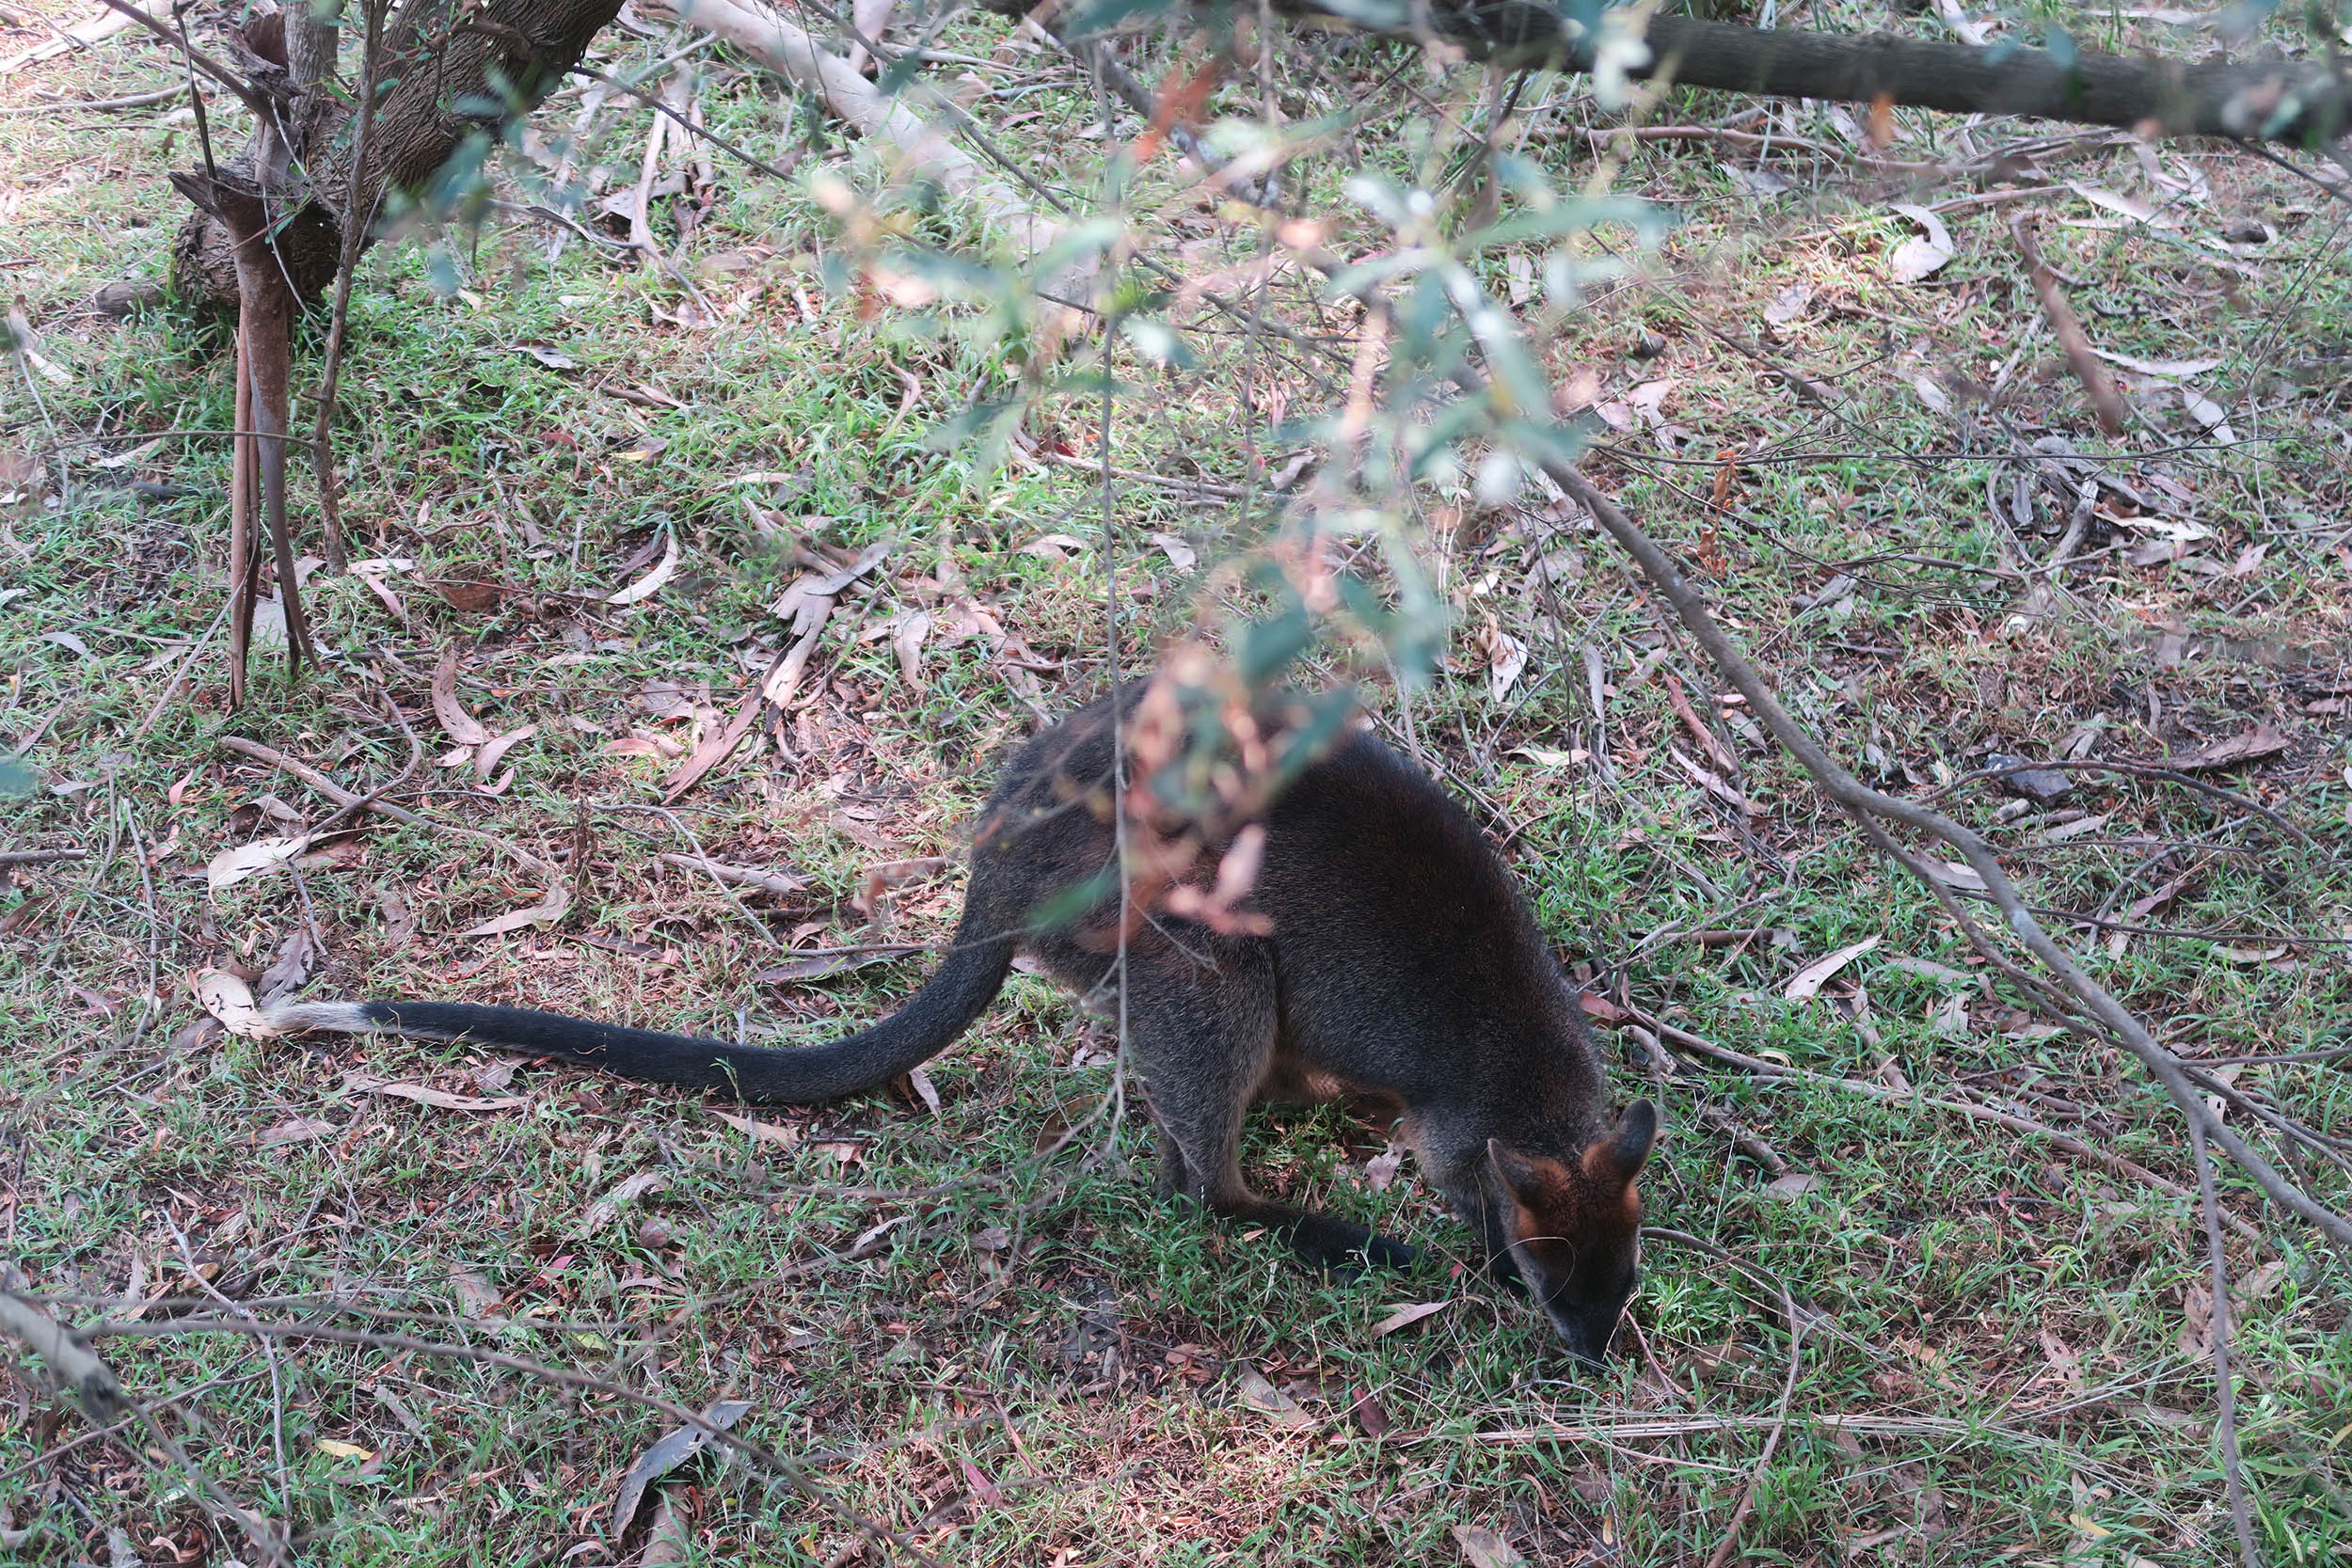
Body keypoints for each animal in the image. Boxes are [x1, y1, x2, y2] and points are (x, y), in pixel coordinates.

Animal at [269, 683, 1658, 1363]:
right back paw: (1318, 1225)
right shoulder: (1456, 1117)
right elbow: (1456, 1181)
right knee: (1196, 1178)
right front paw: (1466, 1247)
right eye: (1558, 1276)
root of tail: (991, 879)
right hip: (1186, 946)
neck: (1529, 1080)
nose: (1599, 1357)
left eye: (1624, 1273)